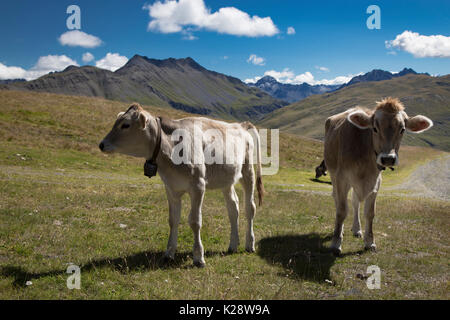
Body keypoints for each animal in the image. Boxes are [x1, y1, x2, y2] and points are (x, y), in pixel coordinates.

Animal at [96, 104, 262, 266]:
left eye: (125, 125)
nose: (101, 144)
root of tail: (240, 125)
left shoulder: (198, 186)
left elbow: (195, 221)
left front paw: (198, 257)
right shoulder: (171, 188)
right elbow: (173, 220)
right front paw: (169, 253)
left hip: (248, 171)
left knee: (250, 208)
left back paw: (249, 244)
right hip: (226, 179)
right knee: (233, 208)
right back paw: (233, 245)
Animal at [326, 97, 434, 255]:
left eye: (402, 130)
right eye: (375, 128)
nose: (388, 159)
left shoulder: (375, 182)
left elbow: (370, 213)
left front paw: (370, 242)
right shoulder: (342, 178)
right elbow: (341, 210)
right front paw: (335, 243)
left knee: (355, 202)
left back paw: (357, 229)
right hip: (333, 175)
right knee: (337, 199)